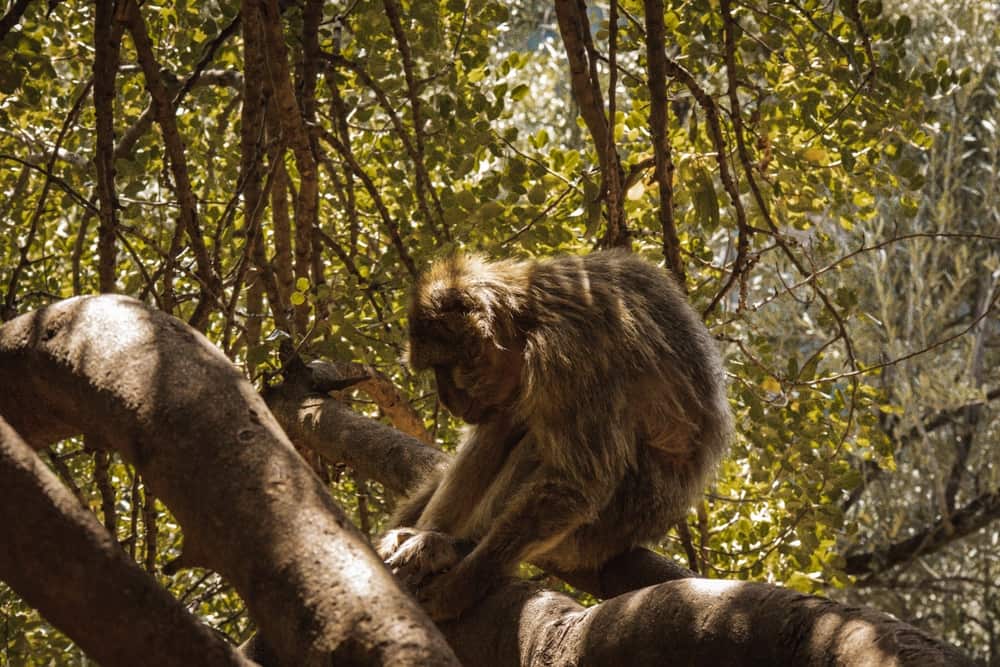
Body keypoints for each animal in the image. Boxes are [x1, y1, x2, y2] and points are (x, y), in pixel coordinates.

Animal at [378, 250, 732, 620]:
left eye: (443, 366)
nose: (446, 399)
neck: (528, 319)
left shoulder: (571, 352)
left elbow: (575, 482)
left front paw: (461, 585)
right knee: (503, 426)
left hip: (616, 520)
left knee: (539, 446)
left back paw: (451, 547)